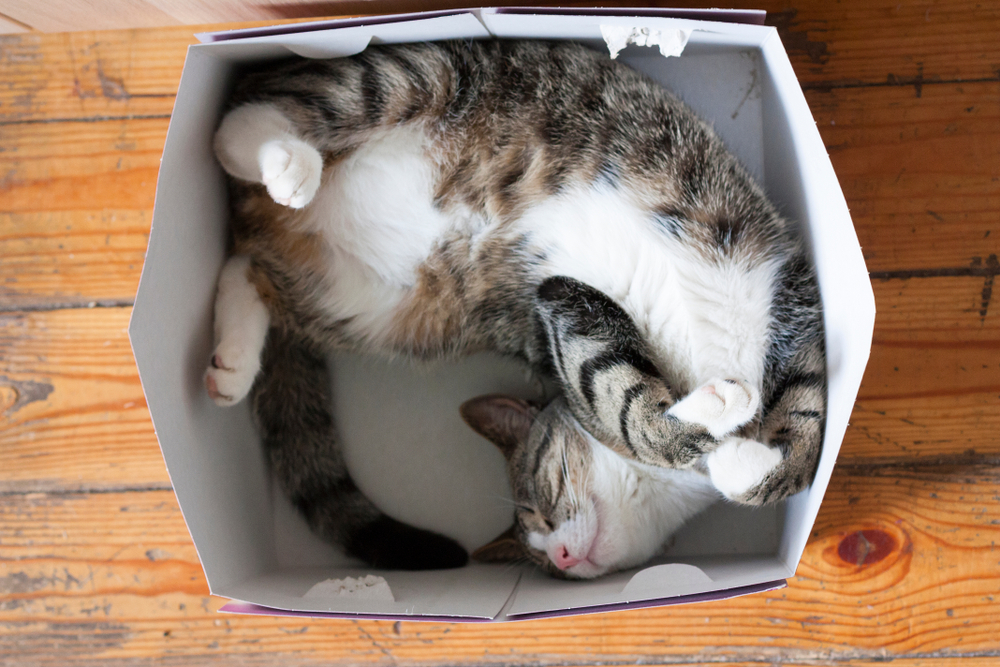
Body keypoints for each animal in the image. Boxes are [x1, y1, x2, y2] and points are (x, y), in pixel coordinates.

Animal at [207, 39, 824, 576]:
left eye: (537, 508)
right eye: (536, 526)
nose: (559, 555)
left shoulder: (791, 301)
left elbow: (806, 437)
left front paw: (745, 462)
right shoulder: (563, 308)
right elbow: (632, 410)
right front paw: (716, 424)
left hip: (374, 303)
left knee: (247, 268)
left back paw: (231, 364)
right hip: (414, 78)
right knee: (237, 127)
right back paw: (286, 163)